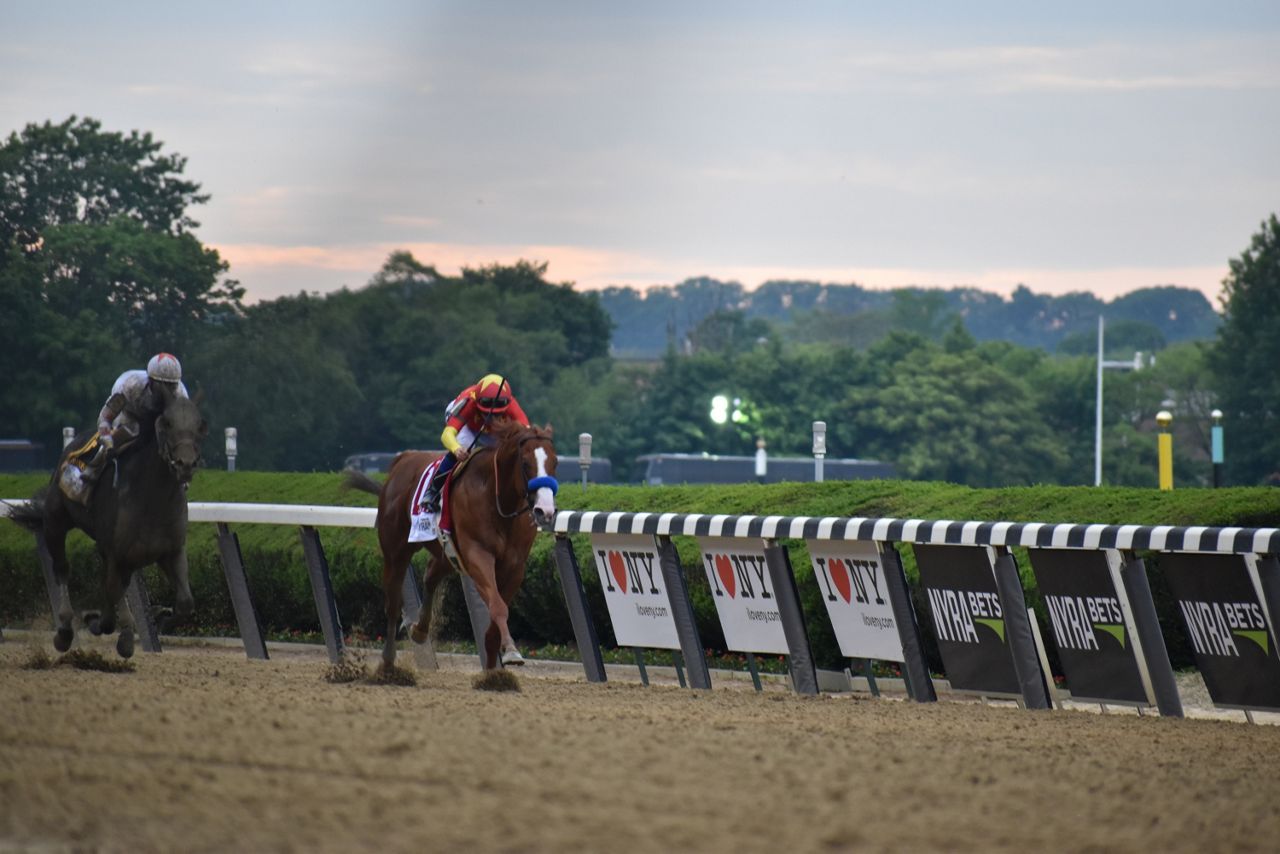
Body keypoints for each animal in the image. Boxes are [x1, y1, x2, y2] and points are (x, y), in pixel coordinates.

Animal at [8, 391, 206, 660]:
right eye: (166, 423)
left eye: (200, 425)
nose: (185, 464)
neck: (152, 497)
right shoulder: (114, 552)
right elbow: (112, 600)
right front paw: (113, 630)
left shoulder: (171, 551)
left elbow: (185, 601)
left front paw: (159, 617)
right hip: (55, 521)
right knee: (62, 569)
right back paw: (65, 631)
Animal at [343, 419, 558, 676]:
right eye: (525, 464)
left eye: (555, 463)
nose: (545, 511)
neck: (497, 501)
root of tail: (403, 459)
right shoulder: (477, 556)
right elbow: (497, 607)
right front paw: (511, 652)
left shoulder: (515, 566)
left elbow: (495, 619)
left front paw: (494, 671)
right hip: (396, 550)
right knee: (393, 603)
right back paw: (388, 661)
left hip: (446, 554)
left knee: (430, 576)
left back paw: (420, 630)